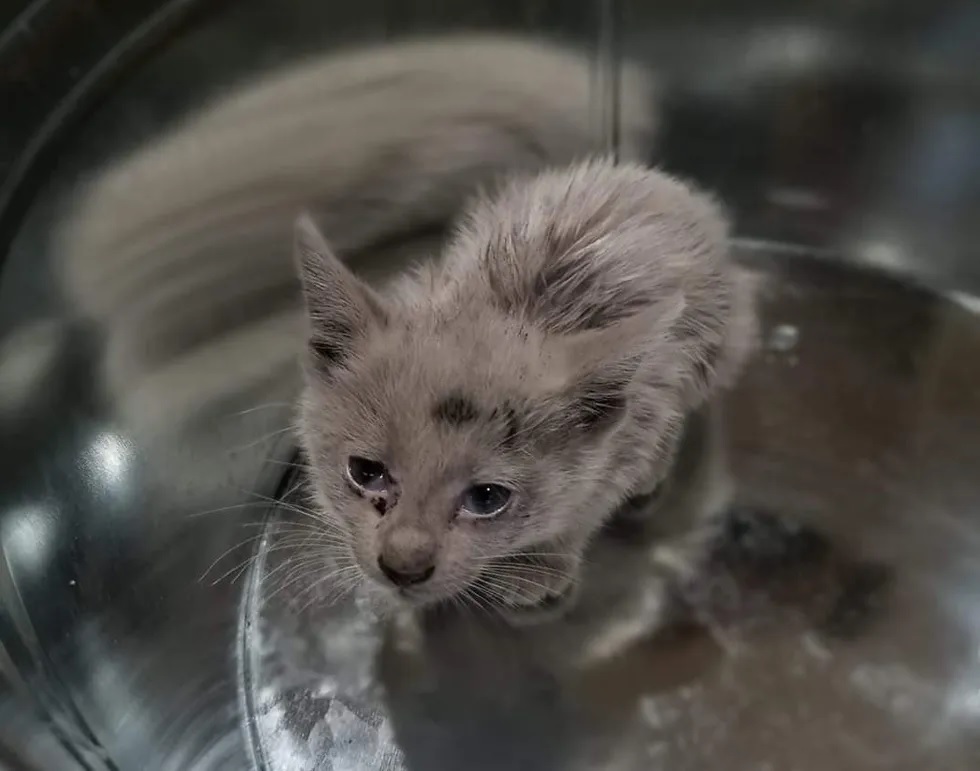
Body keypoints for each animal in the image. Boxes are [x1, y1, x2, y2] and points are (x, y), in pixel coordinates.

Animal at [294, 158, 756, 620]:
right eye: (364, 472)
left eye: (487, 498)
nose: (402, 568)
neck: (514, 305)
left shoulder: (643, 406)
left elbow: (594, 495)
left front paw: (539, 564)